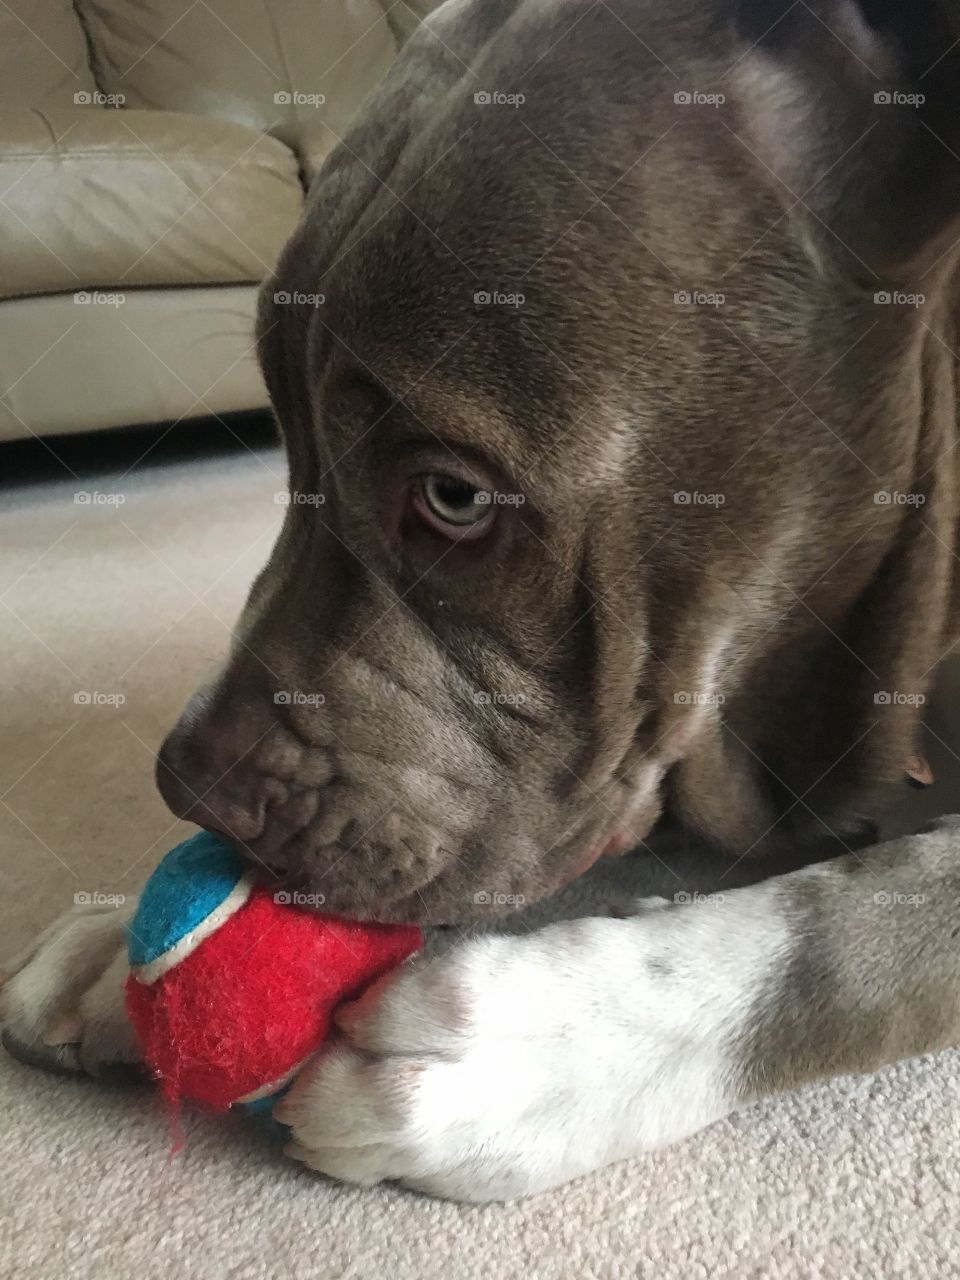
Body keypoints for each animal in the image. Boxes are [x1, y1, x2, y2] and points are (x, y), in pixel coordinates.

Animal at [1, 0, 960, 1198]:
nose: (187, 787)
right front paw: (106, 948)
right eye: (285, 440)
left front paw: (543, 1042)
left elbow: (881, 910)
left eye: (454, 498)